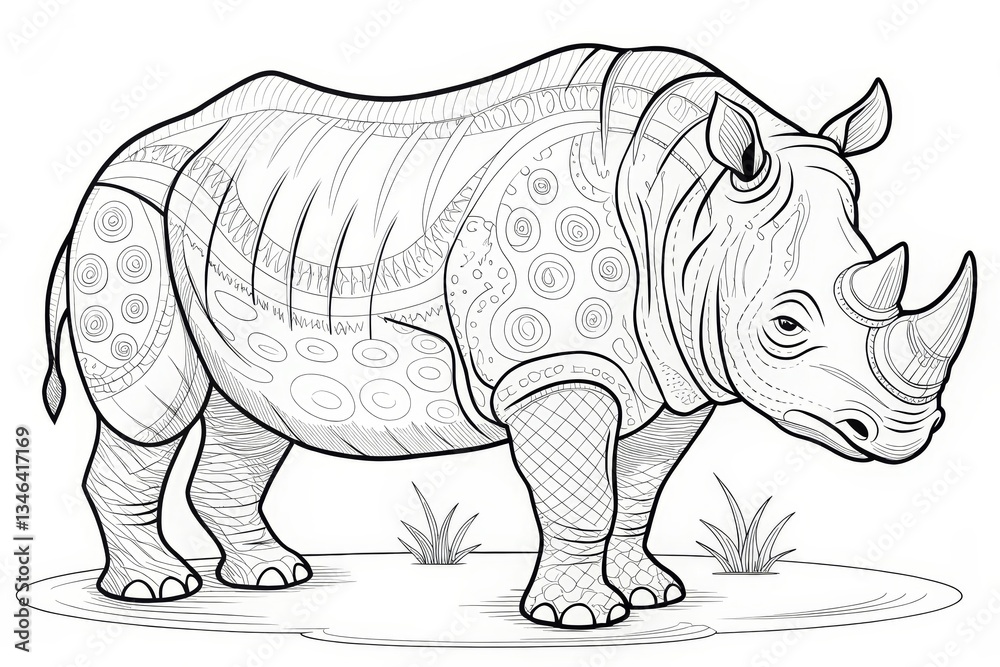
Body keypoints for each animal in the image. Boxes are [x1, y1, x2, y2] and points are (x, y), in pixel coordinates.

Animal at [43, 44, 976, 629]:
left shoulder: (673, 372)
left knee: (249, 415)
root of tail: (117, 159)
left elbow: (639, 489)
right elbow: (583, 493)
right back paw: (157, 590)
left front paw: (651, 592)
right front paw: (581, 617)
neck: (690, 208)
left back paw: (274, 576)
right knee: (152, 411)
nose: (907, 435)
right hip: (127, 212)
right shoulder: (557, 366)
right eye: (786, 323)